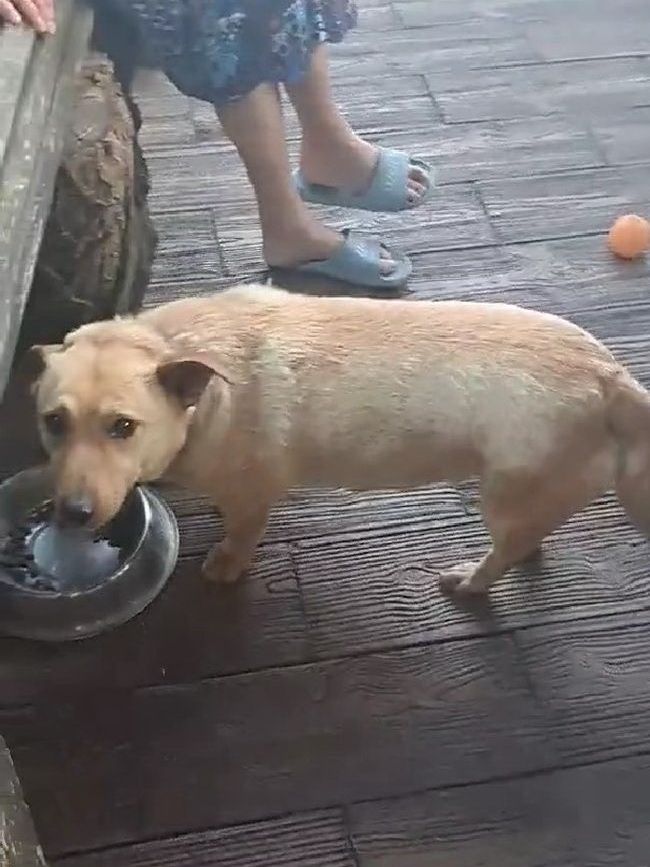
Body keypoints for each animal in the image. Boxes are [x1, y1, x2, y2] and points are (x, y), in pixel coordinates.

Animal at [25, 284, 650, 595]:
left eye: (123, 427)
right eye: (53, 423)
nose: (71, 514)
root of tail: (611, 375)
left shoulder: (252, 497)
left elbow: (240, 536)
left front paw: (226, 564)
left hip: (503, 496)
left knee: (501, 556)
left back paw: (469, 581)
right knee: (528, 538)